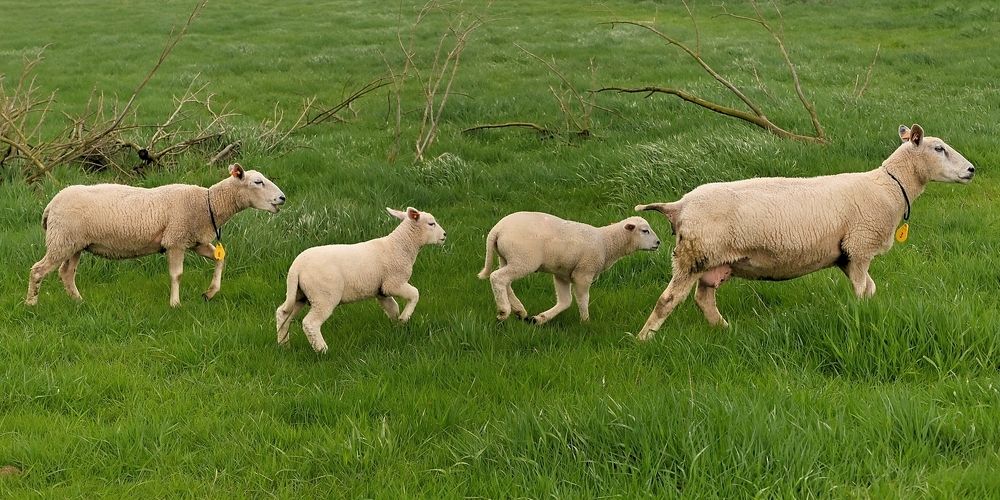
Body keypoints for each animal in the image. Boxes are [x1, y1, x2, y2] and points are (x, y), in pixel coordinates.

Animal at [26, 163, 286, 307]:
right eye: (258, 182)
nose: (282, 198)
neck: (208, 204)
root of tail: (50, 205)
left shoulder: (195, 241)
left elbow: (221, 258)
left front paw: (210, 293)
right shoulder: (176, 240)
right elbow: (177, 275)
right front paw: (175, 304)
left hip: (74, 244)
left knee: (67, 273)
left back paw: (78, 302)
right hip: (62, 240)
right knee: (38, 270)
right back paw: (31, 304)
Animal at [275, 207, 447, 353]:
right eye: (431, 223)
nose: (445, 235)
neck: (401, 246)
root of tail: (296, 267)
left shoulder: (381, 290)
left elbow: (393, 307)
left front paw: (397, 326)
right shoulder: (393, 282)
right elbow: (415, 294)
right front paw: (405, 318)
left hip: (299, 294)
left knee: (283, 314)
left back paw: (284, 344)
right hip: (324, 295)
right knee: (310, 323)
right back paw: (322, 350)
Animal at [478, 212, 661, 324]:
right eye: (645, 231)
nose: (658, 243)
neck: (606, 243)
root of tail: (496, 230)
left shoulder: (562, 274)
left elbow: (565, 301)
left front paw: (540, 319)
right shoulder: (584, 273)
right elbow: (582, 299)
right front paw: (586, 321)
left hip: (507, 258)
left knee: (505, 282)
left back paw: (519, 311)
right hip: (524, 259)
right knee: (497, 277)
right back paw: (504, 311)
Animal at [633, 124, 976, 340]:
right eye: (939, 148)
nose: (972, 170)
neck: (890, 186)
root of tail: (679, 206)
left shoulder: (848, 254)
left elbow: (871, 289)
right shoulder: (860, 246)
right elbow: (863, 291)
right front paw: (861, 317)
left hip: (713, 261)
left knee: (703, 299)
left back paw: (724, 329)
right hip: (694, 255)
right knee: (667, 300)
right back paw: (643, 339)